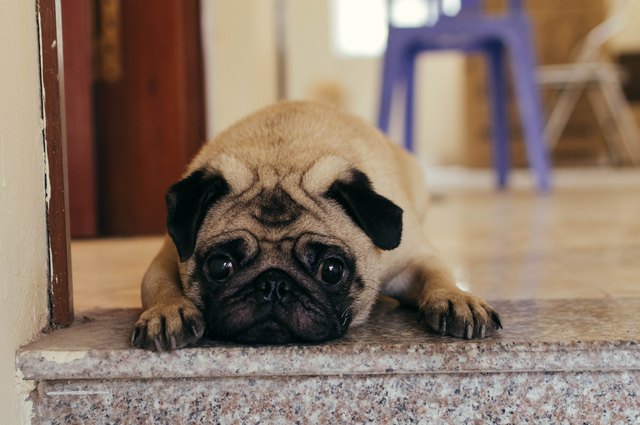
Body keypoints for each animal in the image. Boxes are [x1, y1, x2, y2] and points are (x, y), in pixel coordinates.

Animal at [130, 101, 500, 350]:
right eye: (221, 266)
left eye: (331, 270)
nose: (273, 284)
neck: (280, 157)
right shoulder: (169, 253)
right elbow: (159, 284)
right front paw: (168, 311)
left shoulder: (412, 258)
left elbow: (438, 274)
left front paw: (456, 299)